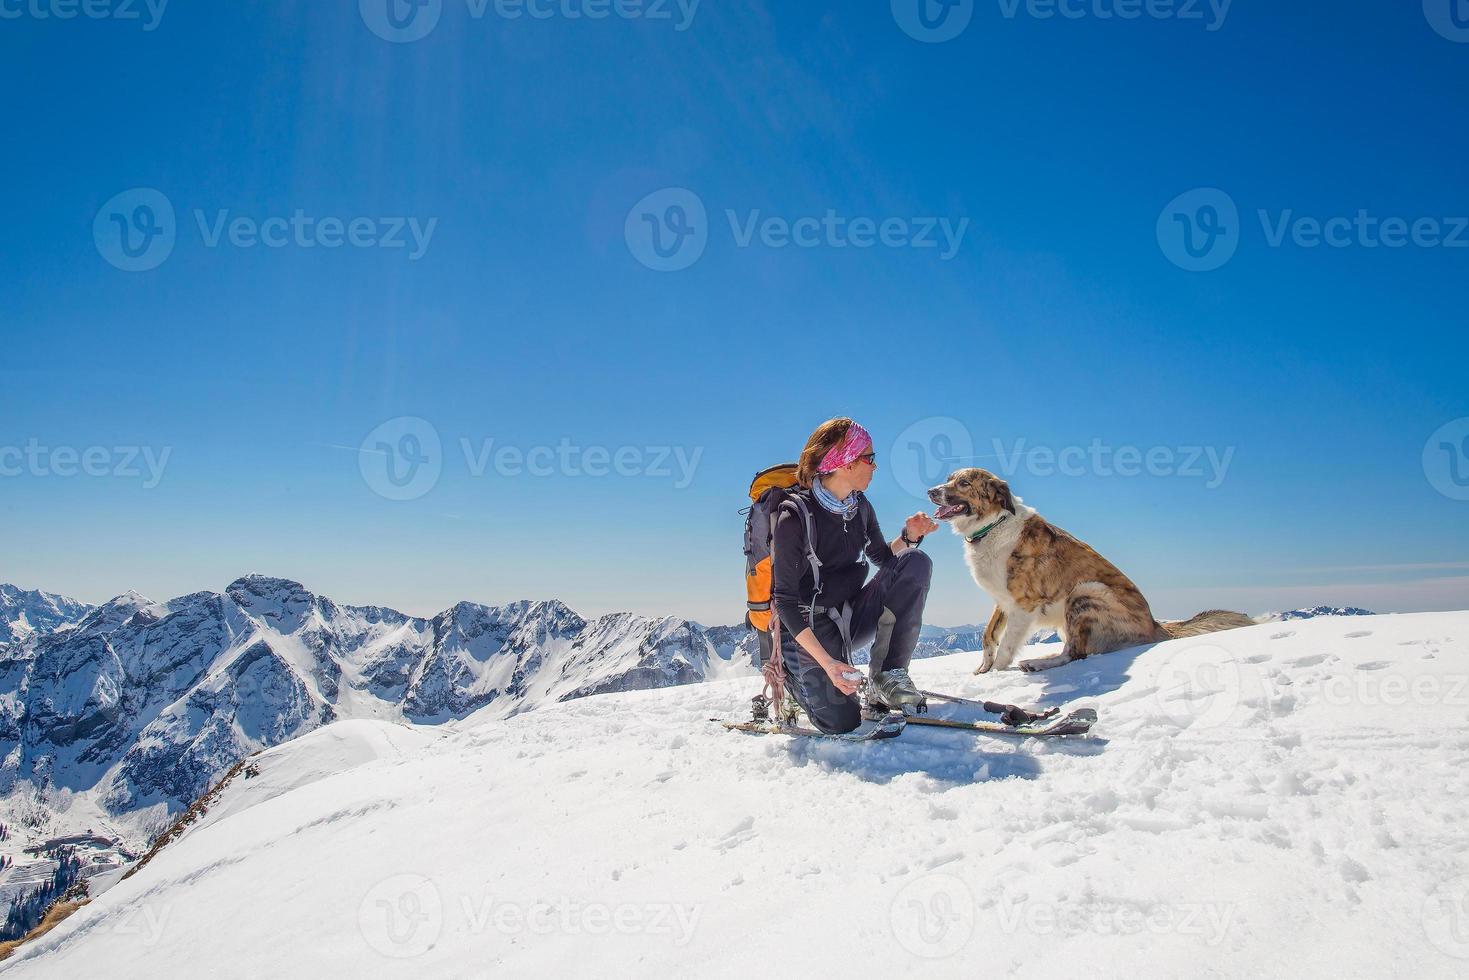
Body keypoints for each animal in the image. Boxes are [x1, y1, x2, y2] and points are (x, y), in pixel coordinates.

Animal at [928, 470, 1251, 675]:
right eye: (949, 479)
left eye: (964, 483)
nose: (930, 491)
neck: (993, 525)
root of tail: (1155, 626)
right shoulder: (1002, 601)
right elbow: (988, 635)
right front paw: (983, 669)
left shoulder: (1023, 604)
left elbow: (1007, 643)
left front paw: (996, 673)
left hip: (1085, 592)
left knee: (1076, 653)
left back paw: (1039, 663)